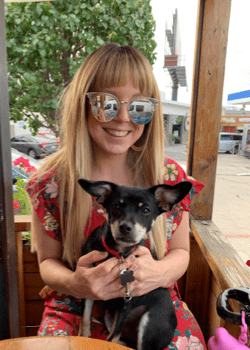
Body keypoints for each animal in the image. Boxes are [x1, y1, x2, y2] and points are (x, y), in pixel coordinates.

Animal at [77, 179, 191, 348]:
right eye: (116, 206)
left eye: (145, 210)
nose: (125, 227)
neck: (117, 253)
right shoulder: (88, 288)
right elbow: (85, 319)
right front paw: (83, 337)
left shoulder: (126, 303)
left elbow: (112, 336)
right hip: (109, 316)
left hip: (149, 324)